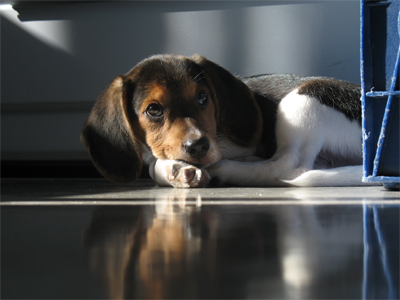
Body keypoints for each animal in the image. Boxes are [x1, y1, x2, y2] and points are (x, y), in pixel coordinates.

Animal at [81, 52, 368, 186]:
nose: (198, 146)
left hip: (303, 100)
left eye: (203, 97)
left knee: (287, 166)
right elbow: (155, 163)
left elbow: (155, 164)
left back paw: (226, 170)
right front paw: (176, 170)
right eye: (153, 110)